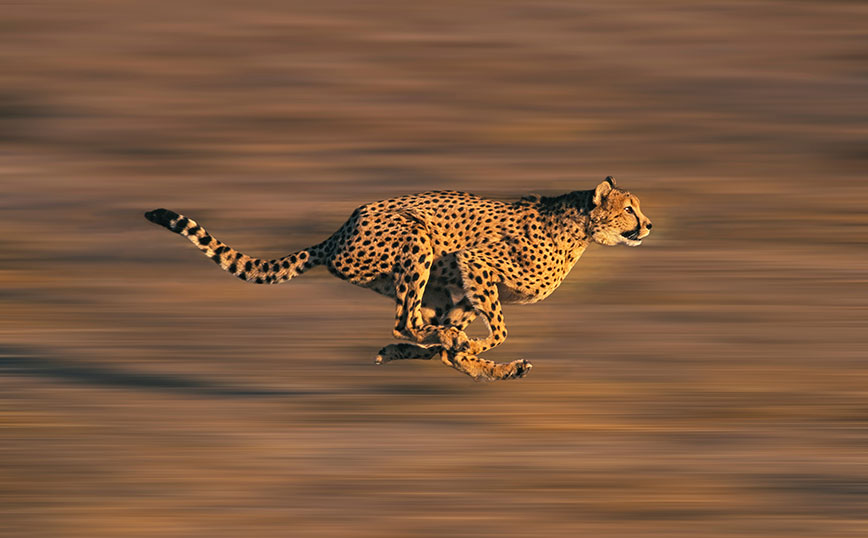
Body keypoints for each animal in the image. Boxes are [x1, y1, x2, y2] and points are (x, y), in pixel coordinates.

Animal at [144, 176, 652, 382]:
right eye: (629, 208)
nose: (648, 225)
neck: (580, 228)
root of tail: (340, 230)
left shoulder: (463, 284)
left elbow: (464, 342)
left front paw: (473, 354)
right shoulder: (475, 261)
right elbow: (499, 329)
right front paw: (472, 345)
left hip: (435, 282)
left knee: (420, 331)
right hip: (417, 238)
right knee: (407, 322)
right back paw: (440, 345)